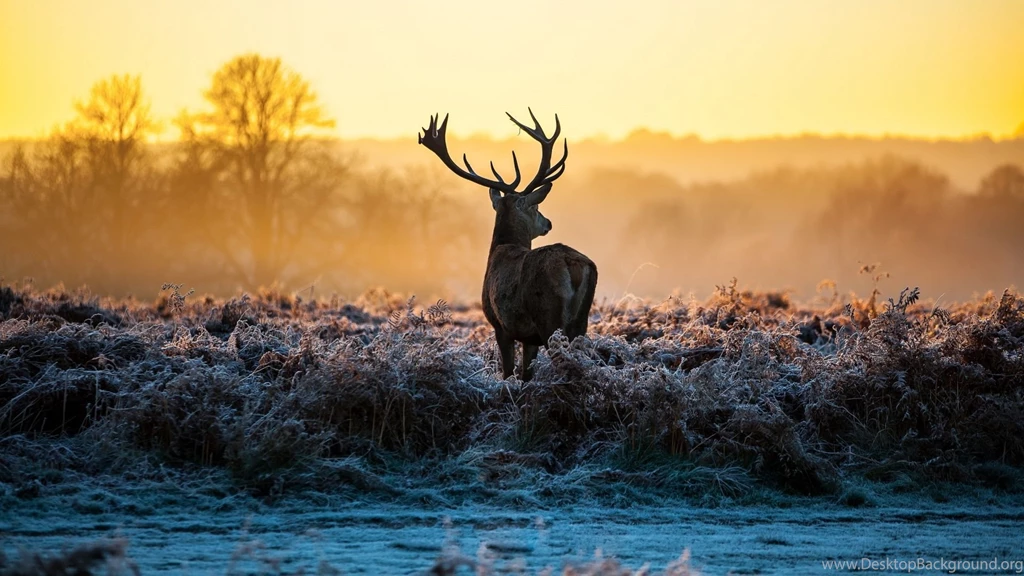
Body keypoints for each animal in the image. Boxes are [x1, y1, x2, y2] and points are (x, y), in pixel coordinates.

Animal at [418, 109, 598, 382]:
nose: (548, 223)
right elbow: (525, 374)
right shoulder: (528, 337)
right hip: (580, 321)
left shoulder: (500, 325)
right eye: (536, 207)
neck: (501, 248)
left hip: (549, 316)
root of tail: (574, 264)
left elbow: (507, 372)